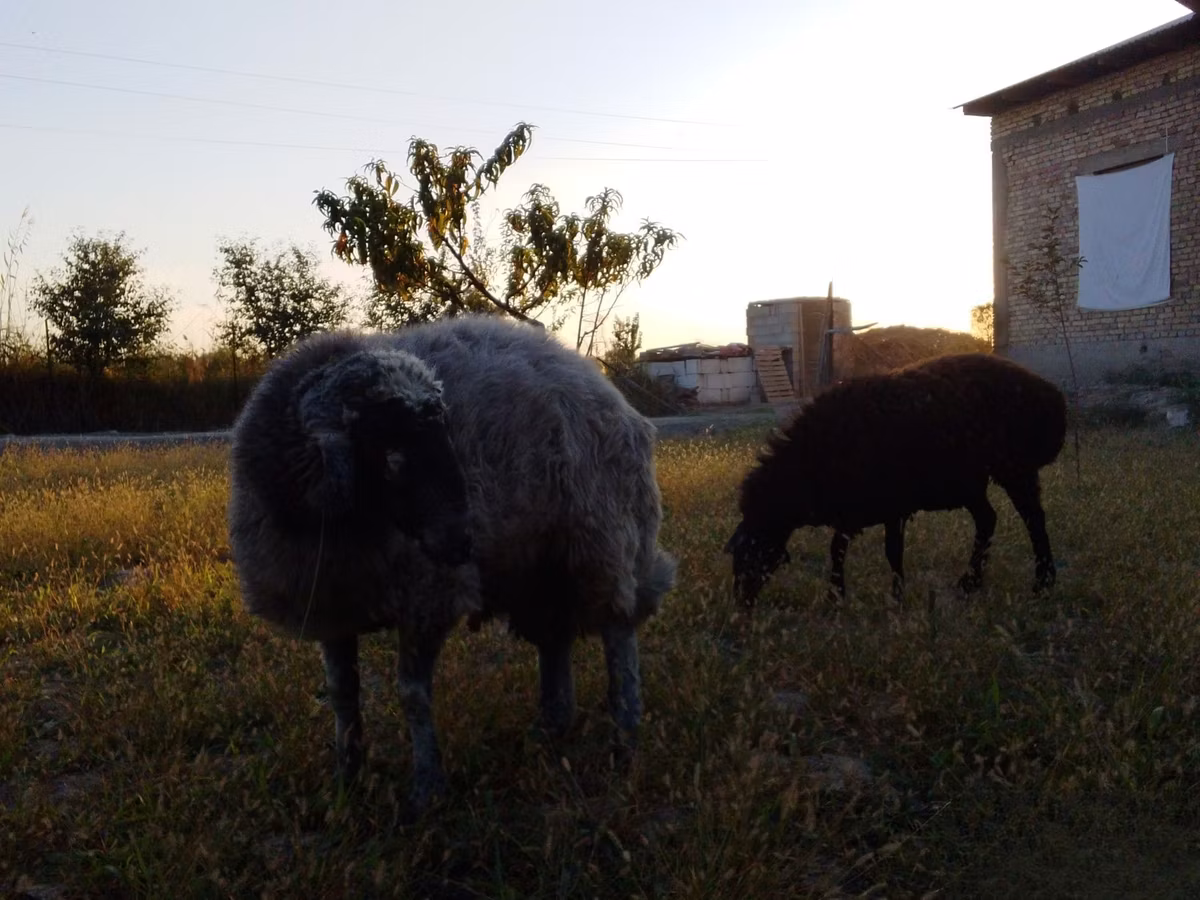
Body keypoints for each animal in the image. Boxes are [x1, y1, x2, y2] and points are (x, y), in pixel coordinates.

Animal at [227, 315, 675, 813]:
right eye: (390, 452)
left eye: (448, 434)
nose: (462, 540)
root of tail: (593, 376)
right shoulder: (330, 604)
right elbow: (343, 694)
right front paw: (347, 780)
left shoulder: (426, 597)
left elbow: (412, 695)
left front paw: (427, 788)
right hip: (538, 562)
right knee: (554, 636)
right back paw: (551, 727)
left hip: (603, 541)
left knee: (618, 630)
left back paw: (624, 737)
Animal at [725, 353, 1067, 606]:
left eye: (753, 553)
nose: (742, 604)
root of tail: (1052, 395)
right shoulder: (856, 510)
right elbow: (843, 549)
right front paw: (842, 595)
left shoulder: (892, 504)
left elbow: (886, 550)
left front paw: (885, 597)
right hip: (971, 484)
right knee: (988, 520)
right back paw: (970, 583)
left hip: (1015, 470)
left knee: (1034, 521)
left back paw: (1043, 582)